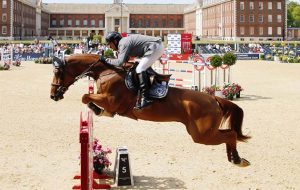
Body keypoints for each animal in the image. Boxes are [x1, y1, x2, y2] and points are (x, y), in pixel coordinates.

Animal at [51, 53, 251, 166]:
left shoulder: (110, 100)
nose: (53, 95)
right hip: (203, 133)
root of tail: (214, 98)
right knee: (230, 134)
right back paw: (233, 158)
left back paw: (237, 159)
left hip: (202, 135)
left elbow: (86, 97)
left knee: (231, 134)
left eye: (58, 72)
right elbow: (87, 98)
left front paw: (97, 109)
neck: (106, 72)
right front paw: (98, 110)